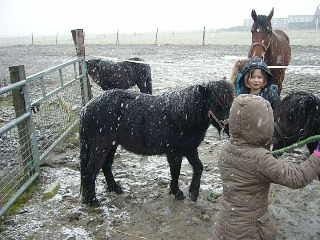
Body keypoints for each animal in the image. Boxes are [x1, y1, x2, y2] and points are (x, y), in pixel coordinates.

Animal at [79, 80, 234, 204]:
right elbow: (175, 171)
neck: (183, 116)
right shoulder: (174, 152)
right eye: (217, 104)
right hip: (101, 147)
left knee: (106, 166)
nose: (230, 128)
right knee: (91, 170)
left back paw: (114, 188)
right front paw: (177, 192)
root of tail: (86, 108)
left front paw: (193, 193)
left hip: (111, 145)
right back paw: (92, 200)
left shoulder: (189, 149)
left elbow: (198, 167)